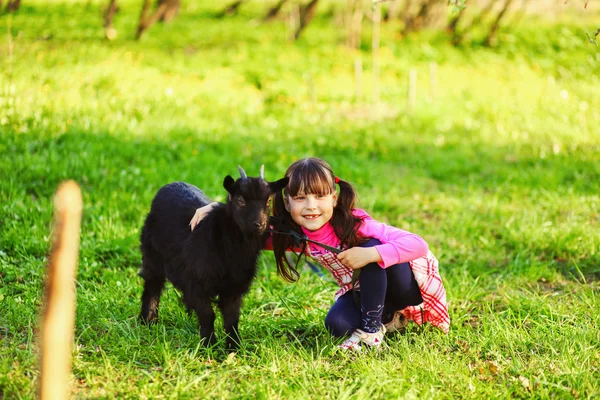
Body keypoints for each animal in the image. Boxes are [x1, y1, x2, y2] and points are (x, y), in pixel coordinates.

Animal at [141, 164, 290, 348]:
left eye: (269, 200)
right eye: (240, 200)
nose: (259, 224)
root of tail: (170, 184)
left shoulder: (235, 286)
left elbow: (232, 317)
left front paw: (234, 346)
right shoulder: (195, 281)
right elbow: (207, 314)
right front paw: (208, 344)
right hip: (151, 254)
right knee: (152, 285)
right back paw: (147, 321)